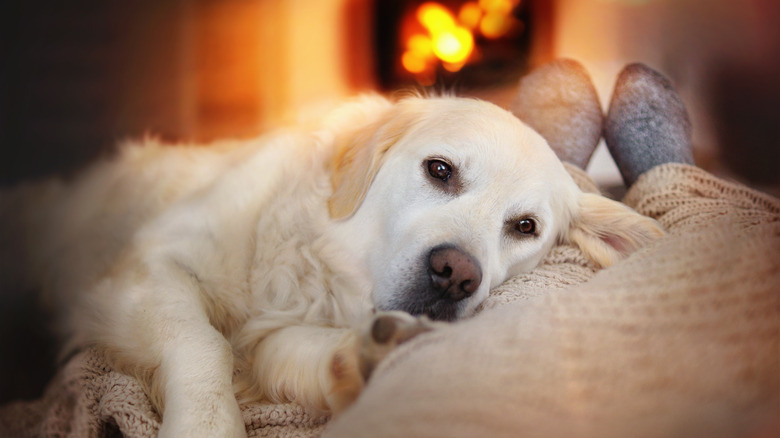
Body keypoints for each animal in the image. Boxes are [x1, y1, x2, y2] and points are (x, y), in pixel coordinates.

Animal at [0, 94, 660, 436]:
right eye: (440, 170)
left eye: (525, 227)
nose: (456, 274)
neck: (319, 264)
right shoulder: (148, 266)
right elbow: (202, 342)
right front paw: (207, 425)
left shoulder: (275, 338)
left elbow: (290, 353)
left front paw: (369, 355)